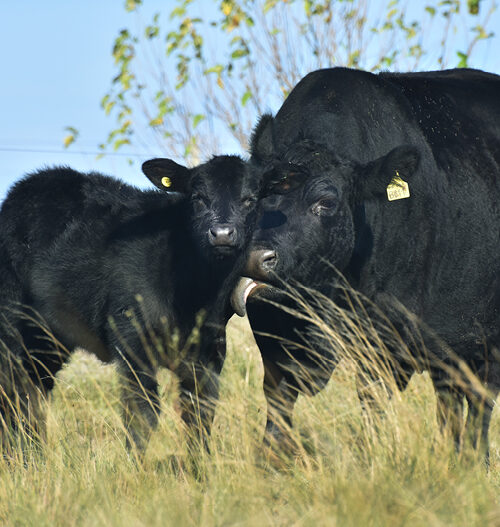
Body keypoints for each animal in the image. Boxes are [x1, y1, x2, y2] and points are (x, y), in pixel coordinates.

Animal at [0, 155, 264, 452]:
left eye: (250, 199)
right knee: (11, 389)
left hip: (49, 337)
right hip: (12, 322)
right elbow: (143, 414)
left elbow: (199, 414)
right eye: (197, 197)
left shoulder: (210, 351)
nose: (221, 233)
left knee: (33, 388)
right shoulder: (132, 341)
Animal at [233, 68, 500, 456]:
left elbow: (372, 401)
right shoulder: (273, 330)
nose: (255, 257)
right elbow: (278, 403)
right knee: (451, 402)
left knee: (480, 403)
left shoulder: (385, 337)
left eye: (326, 202)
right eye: (252, 196)